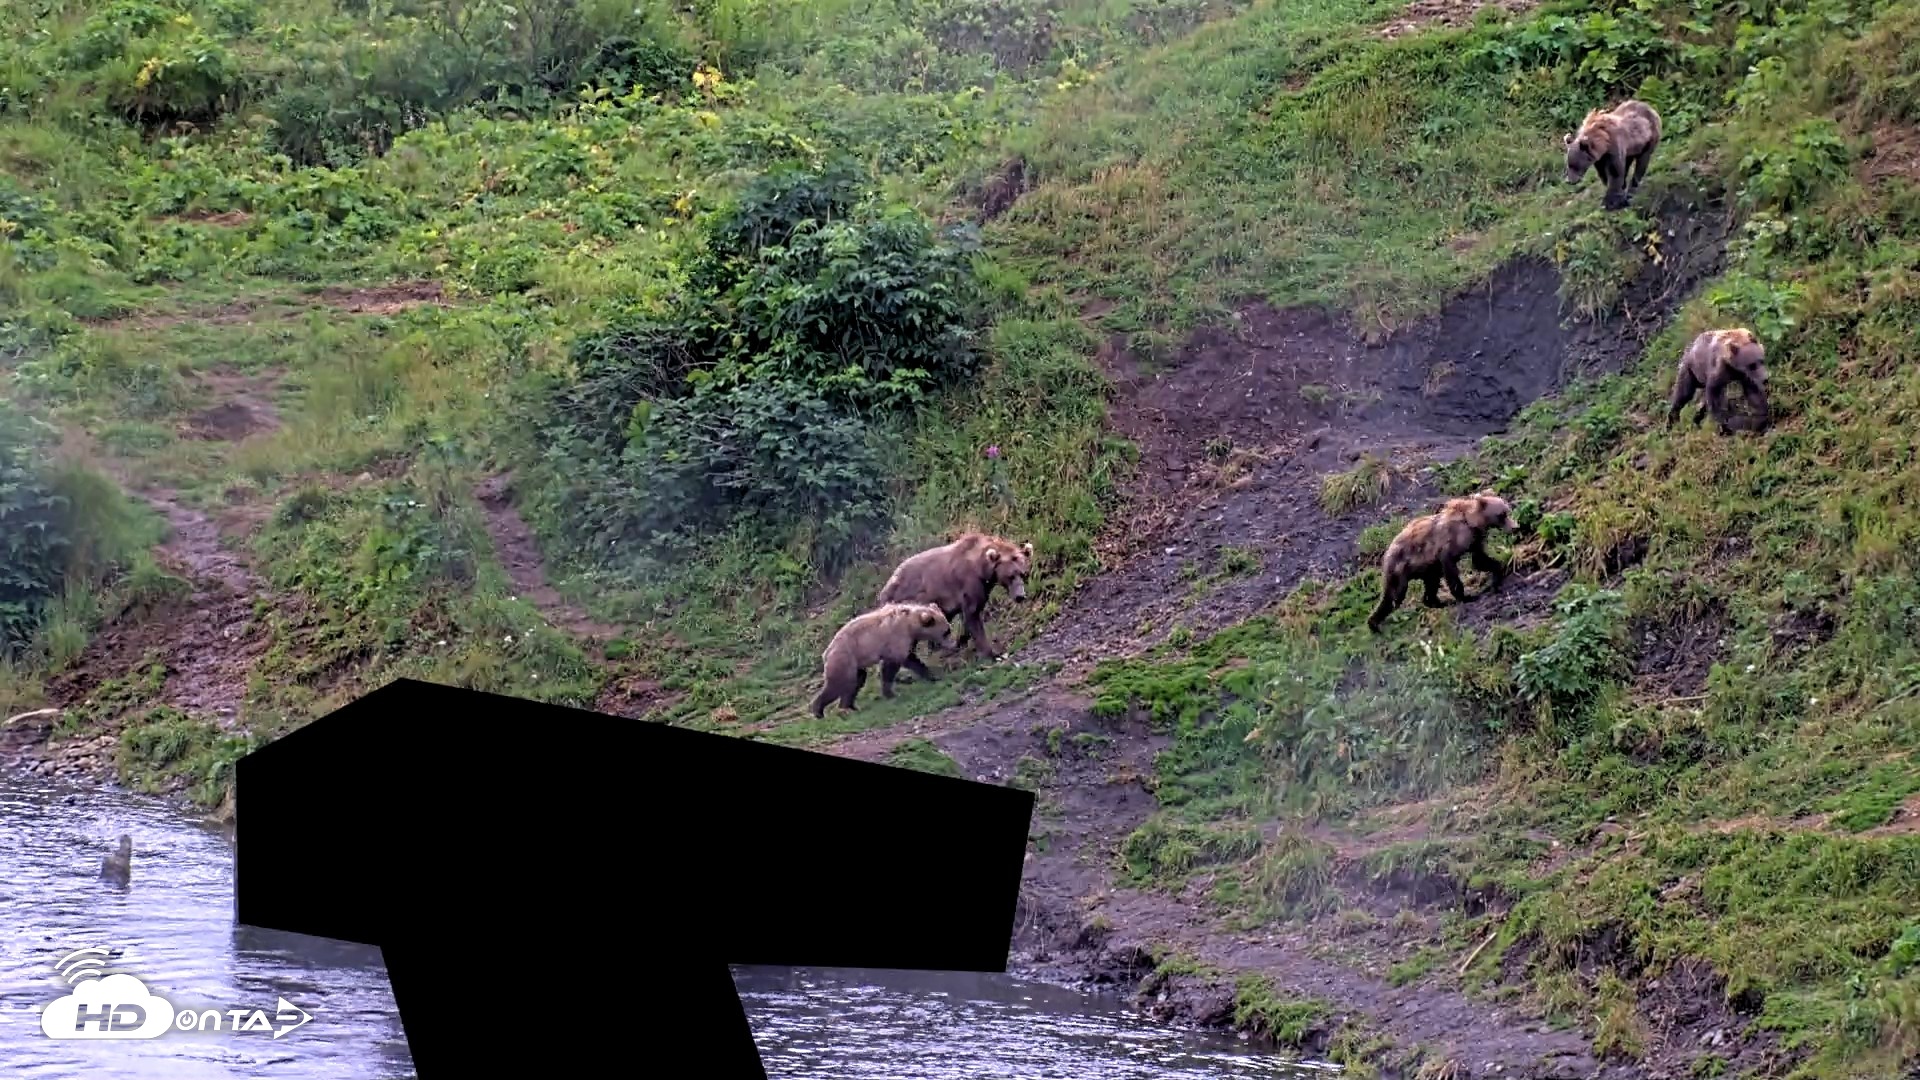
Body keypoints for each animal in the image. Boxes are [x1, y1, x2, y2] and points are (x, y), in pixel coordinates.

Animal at [809, 603, 954, 718]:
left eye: (949, 628)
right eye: (946, 632)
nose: (953, 644)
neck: (911, 624)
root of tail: (826, 652)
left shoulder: (908, 639)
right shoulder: (896, 638)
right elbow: (899, 662)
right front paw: (892, 693)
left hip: (856, 664)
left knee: (857, 681)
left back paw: (849, 706)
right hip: (844, 658)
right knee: (838, 684)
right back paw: (818, 711)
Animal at [876, 532, 1034, 663]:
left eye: (1024, 574)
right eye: (1010, 576)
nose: (1020, 596)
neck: (982, 569)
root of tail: (884, 588)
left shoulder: (982, 589)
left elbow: (969, 619)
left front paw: (960, 641)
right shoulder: (969, 584)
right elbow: (973, 617)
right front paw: (991, 653)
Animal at [1367, 491, 1520, 633]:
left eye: (1507, 510)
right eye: (1501, 515)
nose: (1515, 527)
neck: (1472, 522)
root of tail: (1386, 552)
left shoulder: (1475, 541)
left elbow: (1480, 560)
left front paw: (1497, 578)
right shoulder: (1451, 543)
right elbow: (1451, 568)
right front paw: (1466, 596)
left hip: (1427, 568)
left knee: (1431, 584)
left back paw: (1440, 602)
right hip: (1401, 567)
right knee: (1394, 595)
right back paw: (1374, 624)